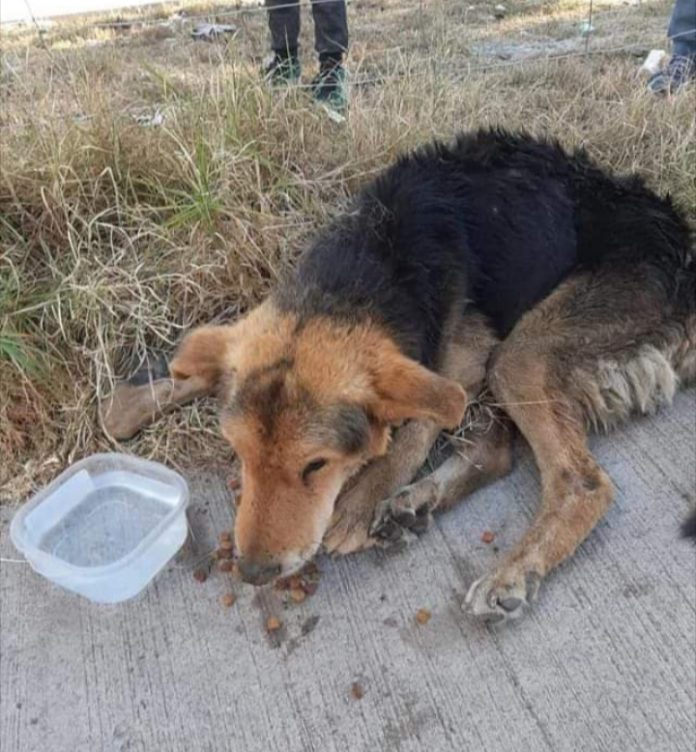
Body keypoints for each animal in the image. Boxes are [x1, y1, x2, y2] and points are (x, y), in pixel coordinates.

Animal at [103, 131, 696, 624]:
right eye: (240, 455)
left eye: (316, 465)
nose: (252, 573)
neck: (372, 259)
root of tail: (681, 243)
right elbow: (202, 357)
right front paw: (136, 400)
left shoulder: (465, 357)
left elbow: (417, 423)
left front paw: (364, 497)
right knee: (498, 451)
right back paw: (416, 506)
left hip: (522, 353)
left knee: (579, 481)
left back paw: (509, 571)